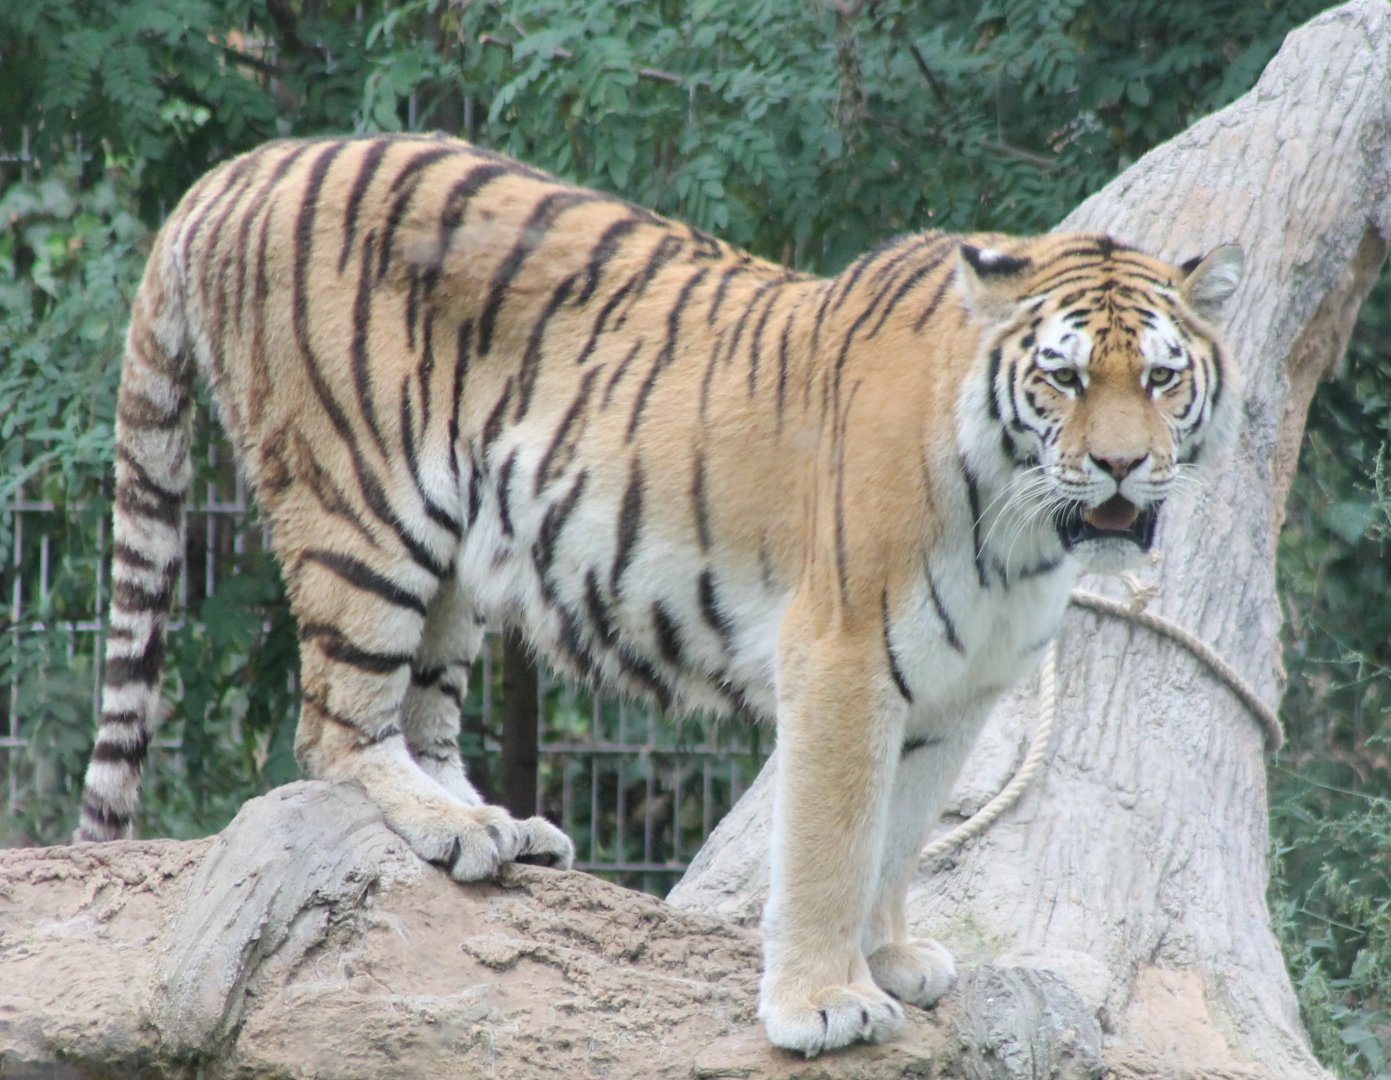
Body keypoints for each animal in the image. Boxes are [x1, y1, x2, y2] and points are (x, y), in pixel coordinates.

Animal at [75, 132, 1242, 1057]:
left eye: (1160, 377)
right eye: (1061, 377)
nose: (1122, 469)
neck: (1019, 530)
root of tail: (243, 167)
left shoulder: (956, 692)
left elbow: (900, 834)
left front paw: (890, 957)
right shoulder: (844, 656)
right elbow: (832, 841)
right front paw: (823, 1004)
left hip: (454, 556)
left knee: (423, 715)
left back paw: (495, 825)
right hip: (363, 510)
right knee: (335, 728)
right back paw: (449, 826)